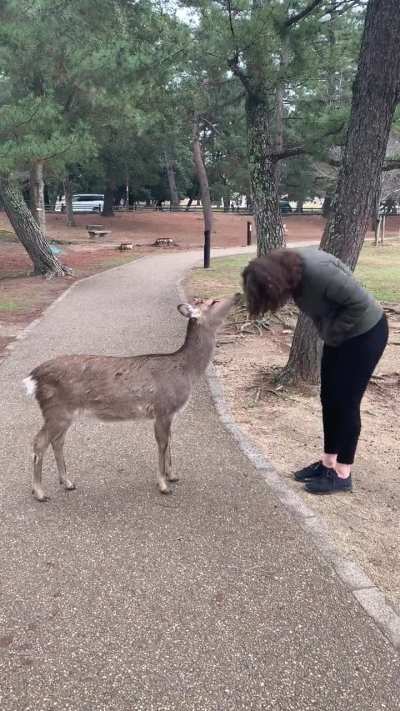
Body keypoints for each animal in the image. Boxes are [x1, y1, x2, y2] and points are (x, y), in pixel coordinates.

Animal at [23, 294, 239, 502]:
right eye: (214, 302)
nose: (237, 295)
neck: (187, 372)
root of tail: (33, 377)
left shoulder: (170, 413)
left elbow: (170, 441)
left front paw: (173, 476)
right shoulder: (163, 408)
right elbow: (162, 444)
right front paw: (163, 485)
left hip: (64, 413)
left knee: (57, 442)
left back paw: (67, 482)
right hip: (56, 410)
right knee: (39, 442)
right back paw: (40, 492)